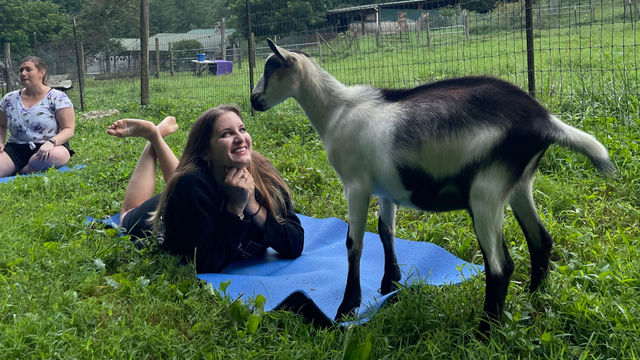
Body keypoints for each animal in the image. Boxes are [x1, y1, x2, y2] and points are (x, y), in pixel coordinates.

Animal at [250, 38, 616, 332]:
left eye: (271, 68)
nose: (254, 100)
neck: (338, 110)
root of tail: (545, 121)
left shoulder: (356, 185)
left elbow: (354, 243)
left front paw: (346, 309)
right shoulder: (385, 188)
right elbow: (386, 231)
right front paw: (389, 283)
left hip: (486, 191)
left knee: (500, 265)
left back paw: (485, 331)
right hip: (518, 185)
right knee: (540, 241)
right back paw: (532, 299)